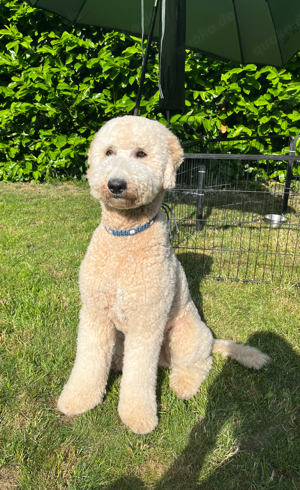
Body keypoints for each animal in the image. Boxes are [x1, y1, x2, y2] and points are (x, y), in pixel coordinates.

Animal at [56, 117, 270, 434]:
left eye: (141, 154)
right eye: (109, 152)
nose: (116, 184)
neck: (125, 239)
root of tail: (212, 339)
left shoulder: (146, 323)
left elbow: (139, 375)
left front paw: (138, 415)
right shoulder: (95, 314)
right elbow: (88, 360)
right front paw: (78, 399)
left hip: (185, 336)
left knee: (200, 364)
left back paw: (183, 385)